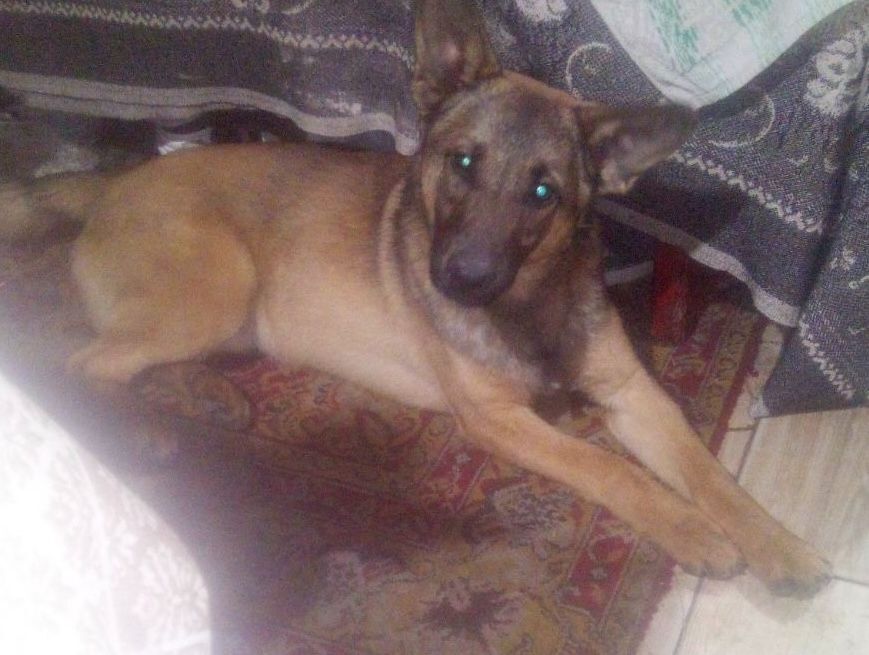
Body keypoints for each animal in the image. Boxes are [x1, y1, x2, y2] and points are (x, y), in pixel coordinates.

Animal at [0, 0, 829, 597]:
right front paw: (692, 532)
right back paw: (142, 429)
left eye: (542, 193)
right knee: (86, 363)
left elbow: (708, 473)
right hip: (218, 287)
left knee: (124, 359)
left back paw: (193, 395)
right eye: (460, 162)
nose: (458, 278)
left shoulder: (632, 392)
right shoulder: (499, 420)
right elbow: (612, 468)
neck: (532, 305)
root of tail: (111, 180)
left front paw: (775, 541)